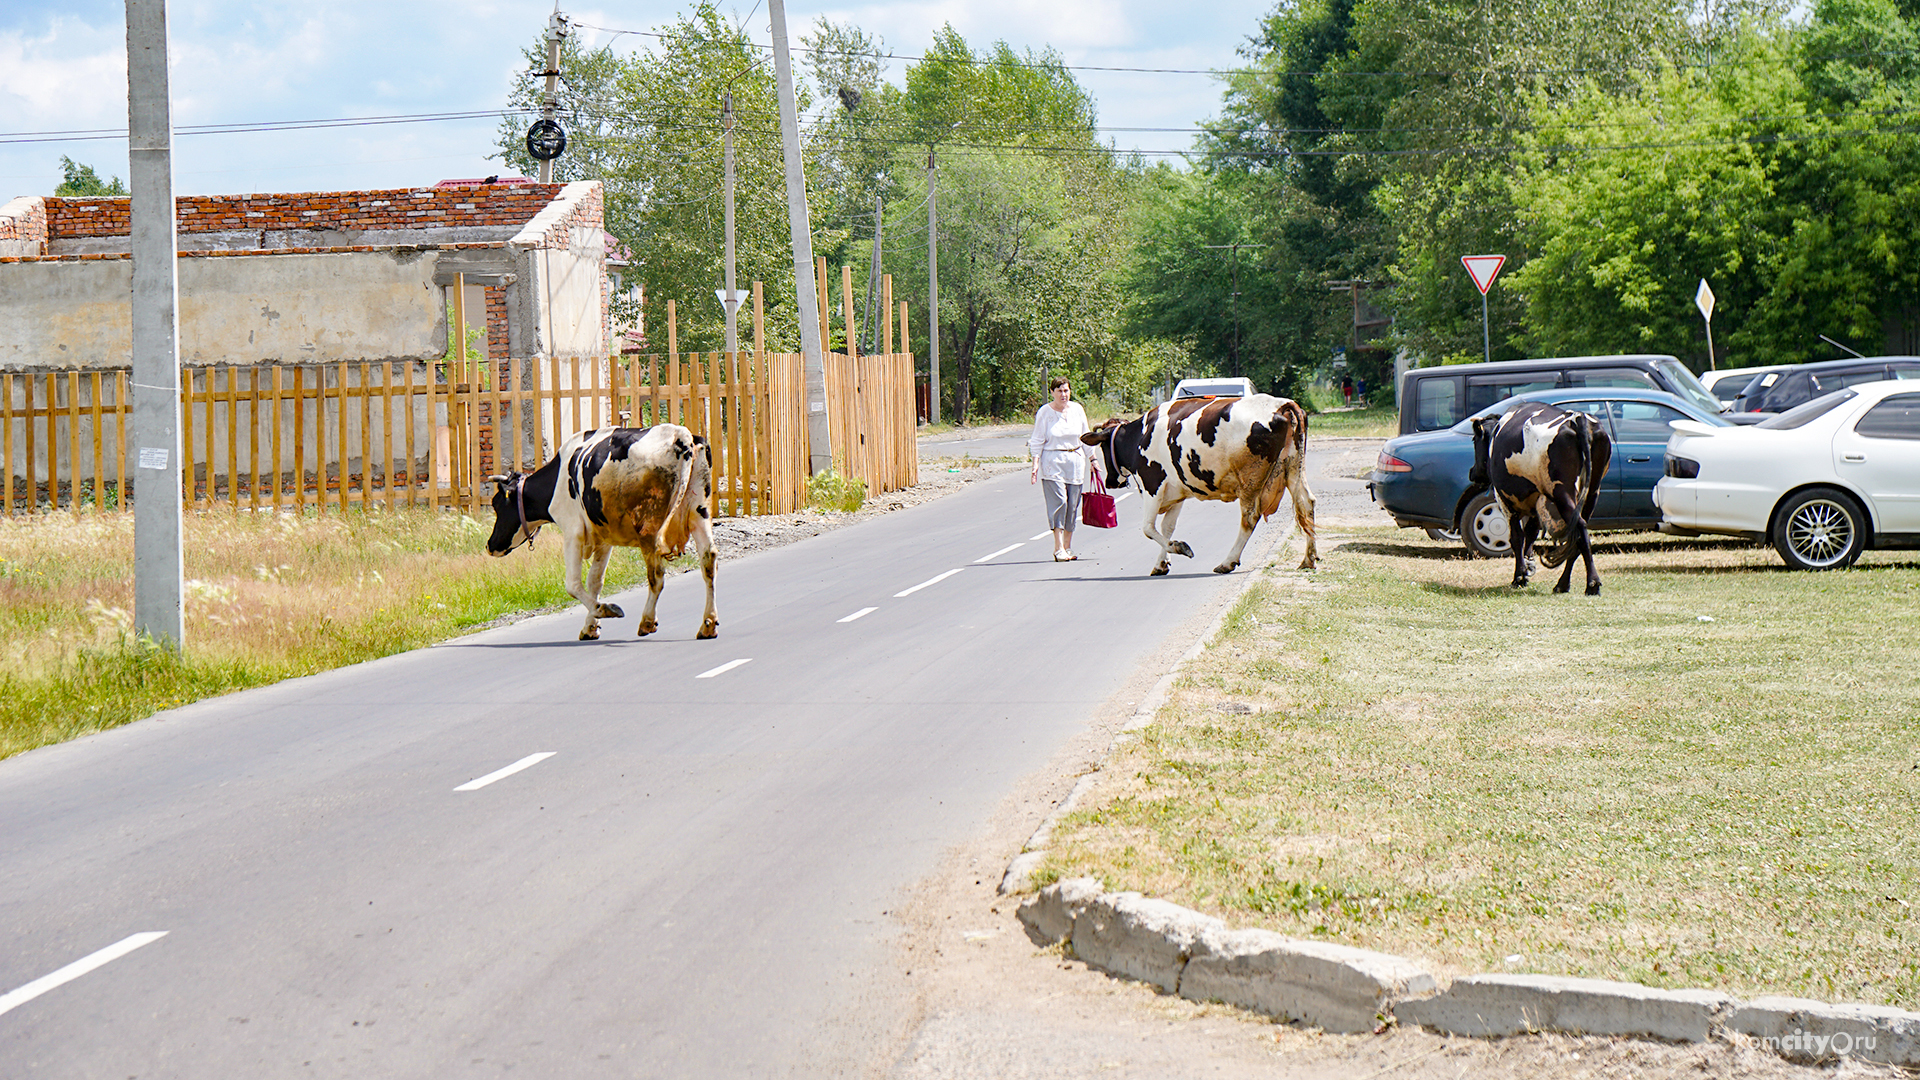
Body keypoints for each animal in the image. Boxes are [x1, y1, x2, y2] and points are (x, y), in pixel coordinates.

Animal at [483, 422, 718, 638]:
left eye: (497, 504)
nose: (489, 545)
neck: (557, 480)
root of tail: (681, 434)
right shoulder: (603, 537)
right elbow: (595, 581)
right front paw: (590, 627)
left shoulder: (573, 531)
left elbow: (573, 584)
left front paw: (604, 610)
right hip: (698, 511)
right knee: (708, 560)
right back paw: (708, 624)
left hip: (649, 528)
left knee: (656, 576)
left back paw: (647, 621)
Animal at [1082, 393, 1320, 576]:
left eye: (1103, 447)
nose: (1110, 482)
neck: (1141, 435)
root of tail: (1280, 403)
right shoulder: (1176, 492)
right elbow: (1166, 527)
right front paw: (1161, 564)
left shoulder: (1152, 486)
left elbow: (1148, 528)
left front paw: (1179, 547)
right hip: (1293, 469)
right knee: (1306, 503)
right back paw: (1308, 559)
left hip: (1250, 481)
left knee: (1250, 517)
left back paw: (1227, 562)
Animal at [1474, 399, 1612, 591]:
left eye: (1474, 441)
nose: (1472, 473)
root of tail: (1577, 418)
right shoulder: (1535, 501)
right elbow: (1530, 534)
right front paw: (1527, 567)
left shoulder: (1505, 501)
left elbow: (1517, 538)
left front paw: (1519, 577)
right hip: (1592, 492)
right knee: (1578, 533)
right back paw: (1562, 584)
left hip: (1562, 492)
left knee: (1580, 528)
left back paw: (1592, 583)